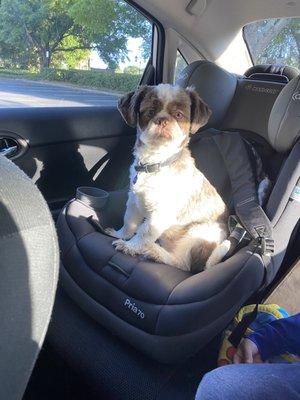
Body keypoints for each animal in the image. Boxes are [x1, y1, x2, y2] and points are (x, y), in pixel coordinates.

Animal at [106, 84, 231, 272]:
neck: (156, 163)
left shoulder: (160, 214)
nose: (163, 120)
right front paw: (120, 234)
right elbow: (129, 222)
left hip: (198, 232)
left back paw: (154, 251)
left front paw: (130, 246)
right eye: (150, 112)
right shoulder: (134, 201)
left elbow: (145, 232)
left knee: (181, 262)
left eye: (179, 115)